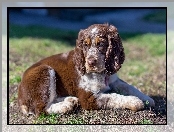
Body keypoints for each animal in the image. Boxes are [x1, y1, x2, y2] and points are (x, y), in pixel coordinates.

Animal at [17, 23, 155, 115]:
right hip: (44, 71)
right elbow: (113, 97)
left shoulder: (114, 80)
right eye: (85, 45)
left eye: (101, 44)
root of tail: (20, 96)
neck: (102, 73)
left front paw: (148, 99)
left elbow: (129, 87)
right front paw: (134, 101)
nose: (90, 62)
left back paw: (70, 100)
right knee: (41, 109)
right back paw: (65, 106)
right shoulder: (89, 98)